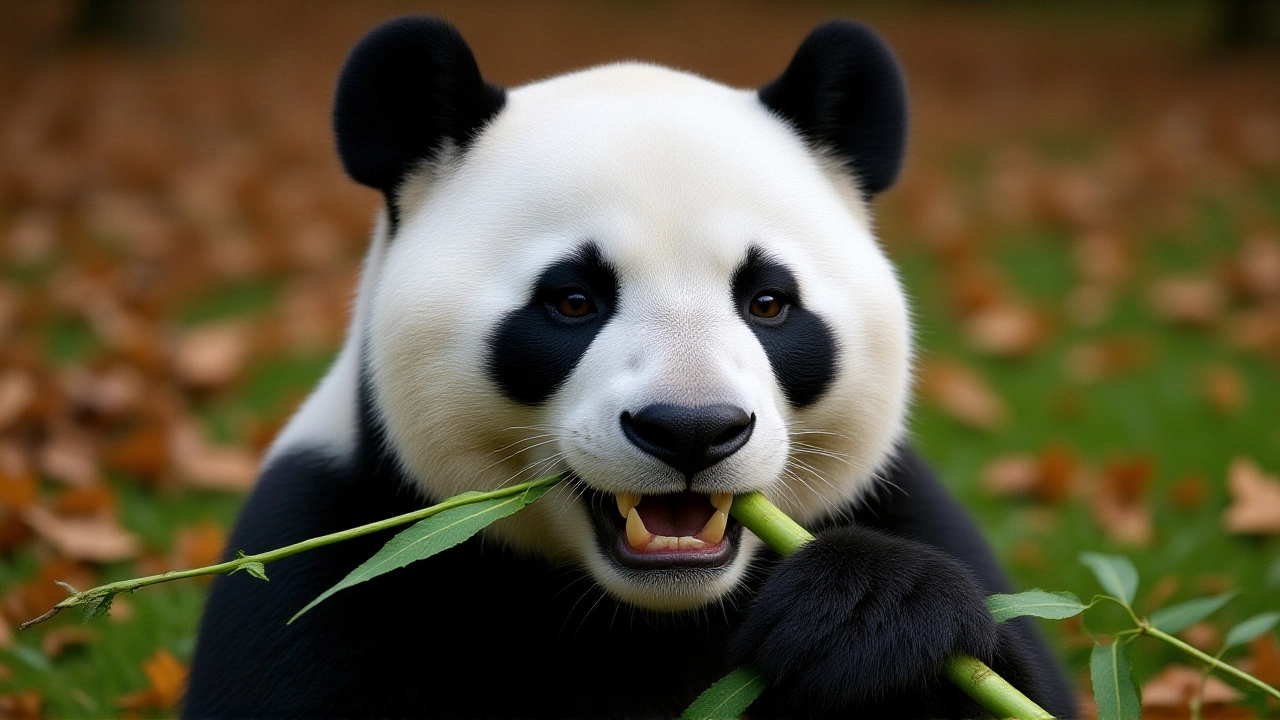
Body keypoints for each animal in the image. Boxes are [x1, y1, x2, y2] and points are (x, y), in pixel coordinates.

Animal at [185, 16, 1077, 719]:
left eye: (768, 302)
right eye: (573, 301)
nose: (691, 430)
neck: (651, 614)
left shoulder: (903, 508)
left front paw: (867, 618)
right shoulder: (332, 556)